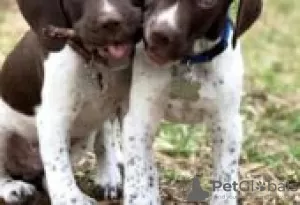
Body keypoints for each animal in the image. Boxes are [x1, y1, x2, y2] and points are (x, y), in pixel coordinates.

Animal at [0, 0, 142, 204]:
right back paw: (12, 187)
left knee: (46, 177)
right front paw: (70, 199)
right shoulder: (54, 119)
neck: (95, 64)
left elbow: (106, 142)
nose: (111, 22)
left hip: (81, 139)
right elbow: (59, 167)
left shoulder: (116, 109)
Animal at [122, 0, 262, 205]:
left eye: (207, 2)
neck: (189, 63)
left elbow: (225, 180)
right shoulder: (139, 121)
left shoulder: (227, 126)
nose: (158, 34)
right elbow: (138, 179)